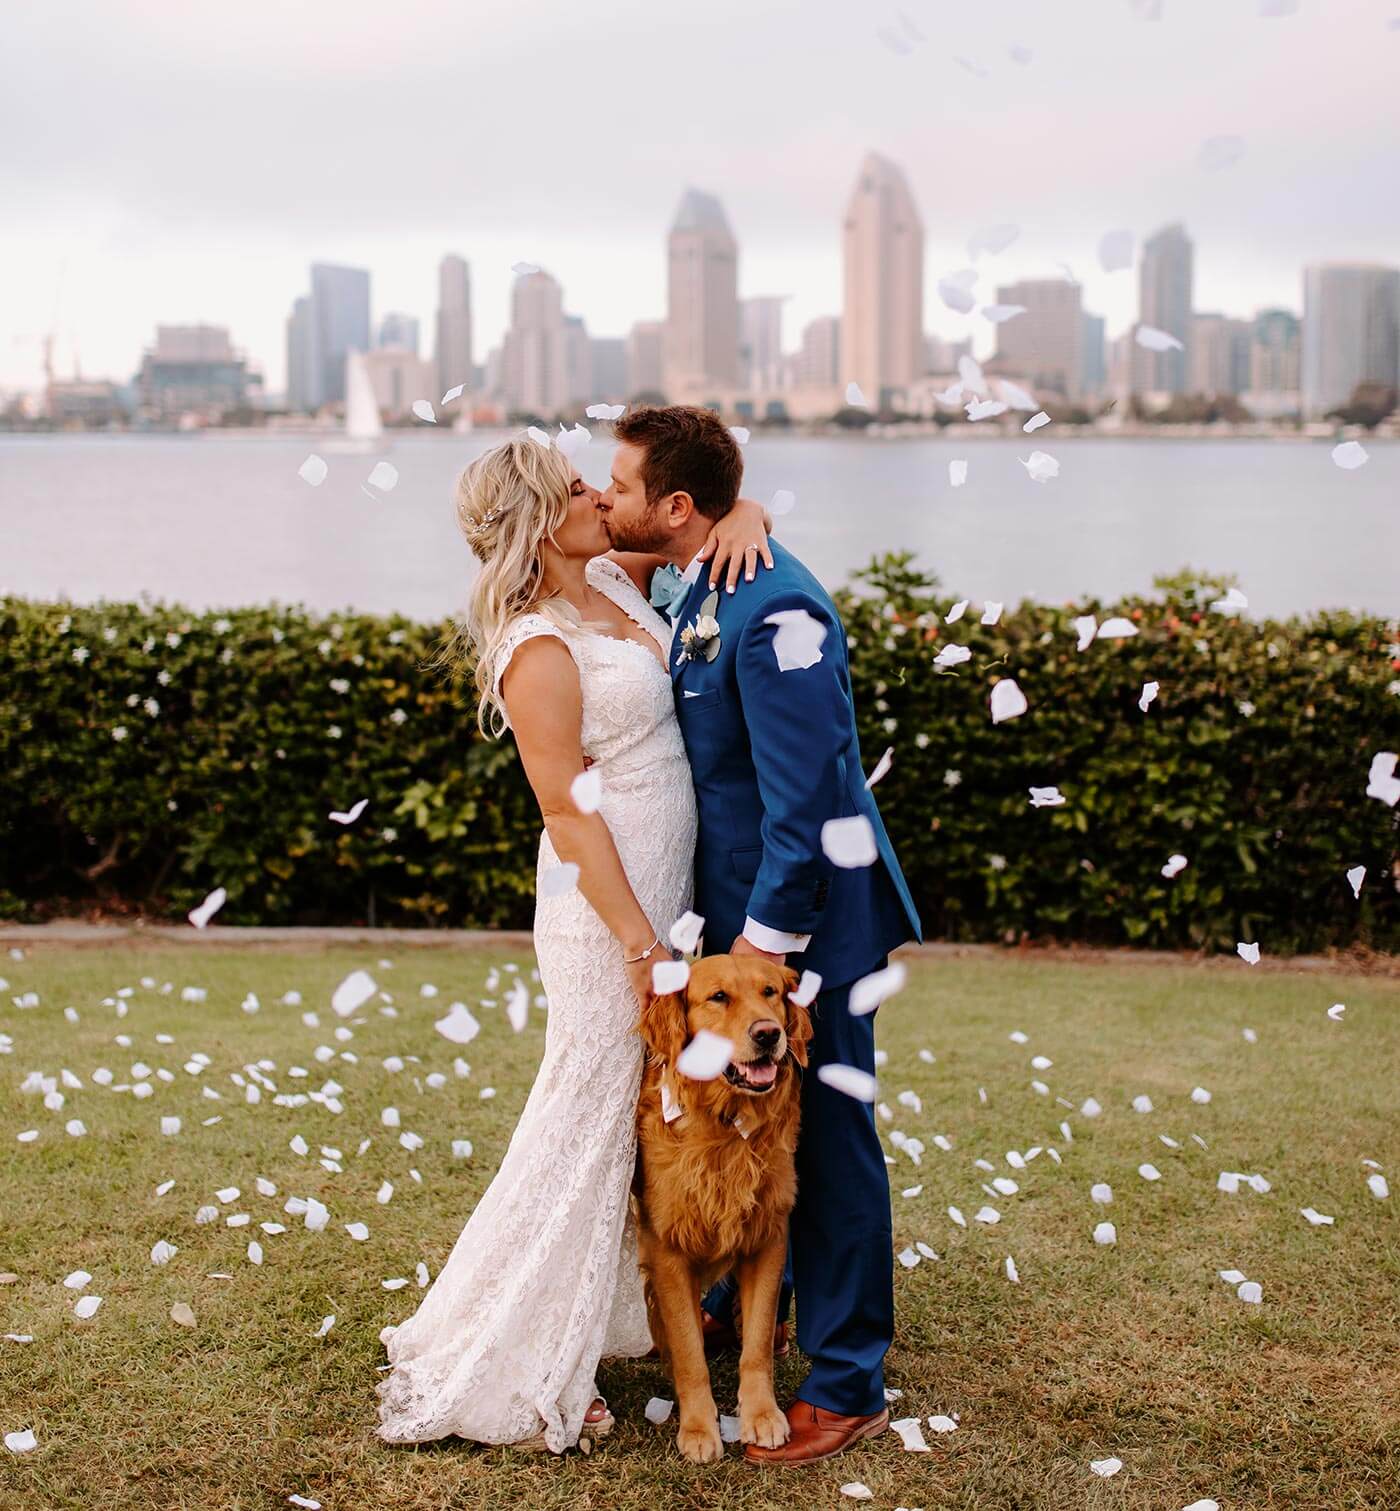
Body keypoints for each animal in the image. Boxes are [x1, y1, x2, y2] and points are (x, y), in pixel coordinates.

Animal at [631, 954, 809, 1462]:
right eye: (718, 997)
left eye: (770, 992)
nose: (769, 1033)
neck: (725, 1124)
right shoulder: (668, 1251)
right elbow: (690, 1351)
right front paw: (697, 1427)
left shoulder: (769, 1236)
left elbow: (757, 1345)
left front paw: (762, 1414)